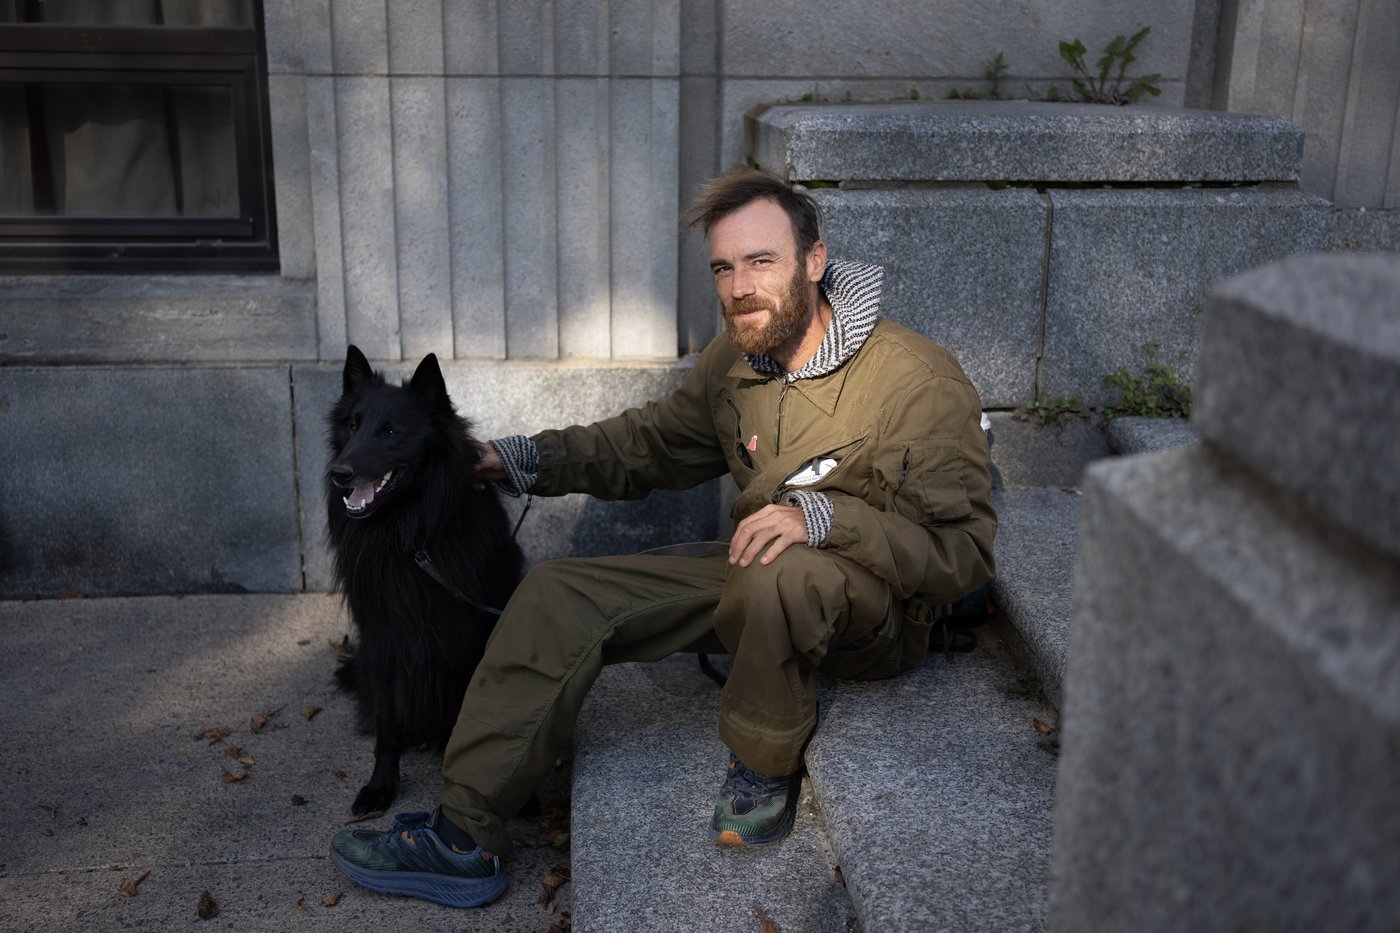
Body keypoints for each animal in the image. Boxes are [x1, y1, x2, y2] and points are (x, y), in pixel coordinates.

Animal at [324, 343, 523, 812]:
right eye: (353, 425)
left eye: (390, 431)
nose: (340, 474)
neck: (408, 534)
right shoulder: (384, 637)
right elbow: (387, 724)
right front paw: (381, 786)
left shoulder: (469, 635)